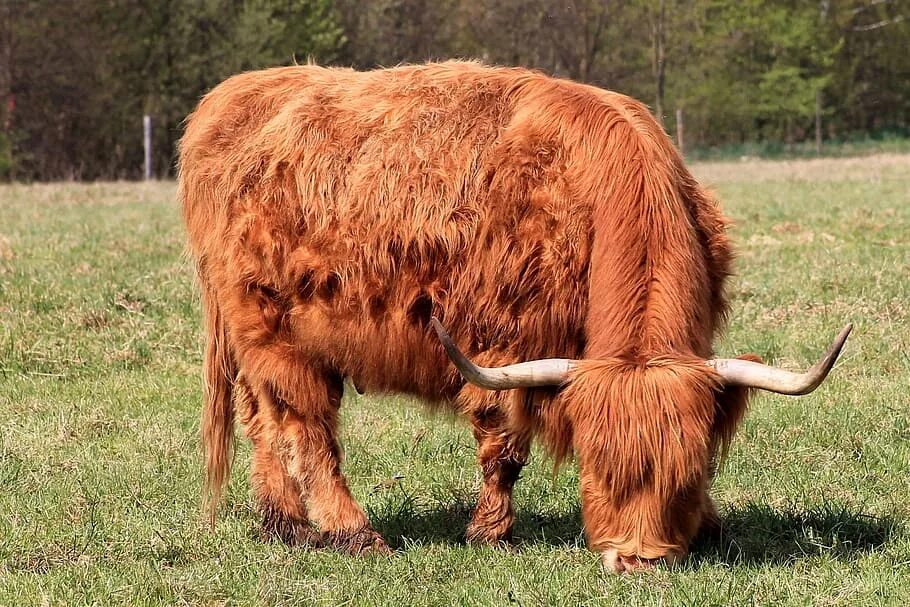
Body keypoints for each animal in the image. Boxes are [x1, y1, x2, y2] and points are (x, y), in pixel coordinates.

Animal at [180, 59, 856, 572]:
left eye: (686, 471)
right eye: (596, 465)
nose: (638, 561)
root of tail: (230, 97)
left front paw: (711, 522)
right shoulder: (499, 341)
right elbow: (502, 444)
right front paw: (491, 533)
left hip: (259, 340)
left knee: (264, 420)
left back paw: (285, 525)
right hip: (276, 332)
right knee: (307, 429)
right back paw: (353, 533)